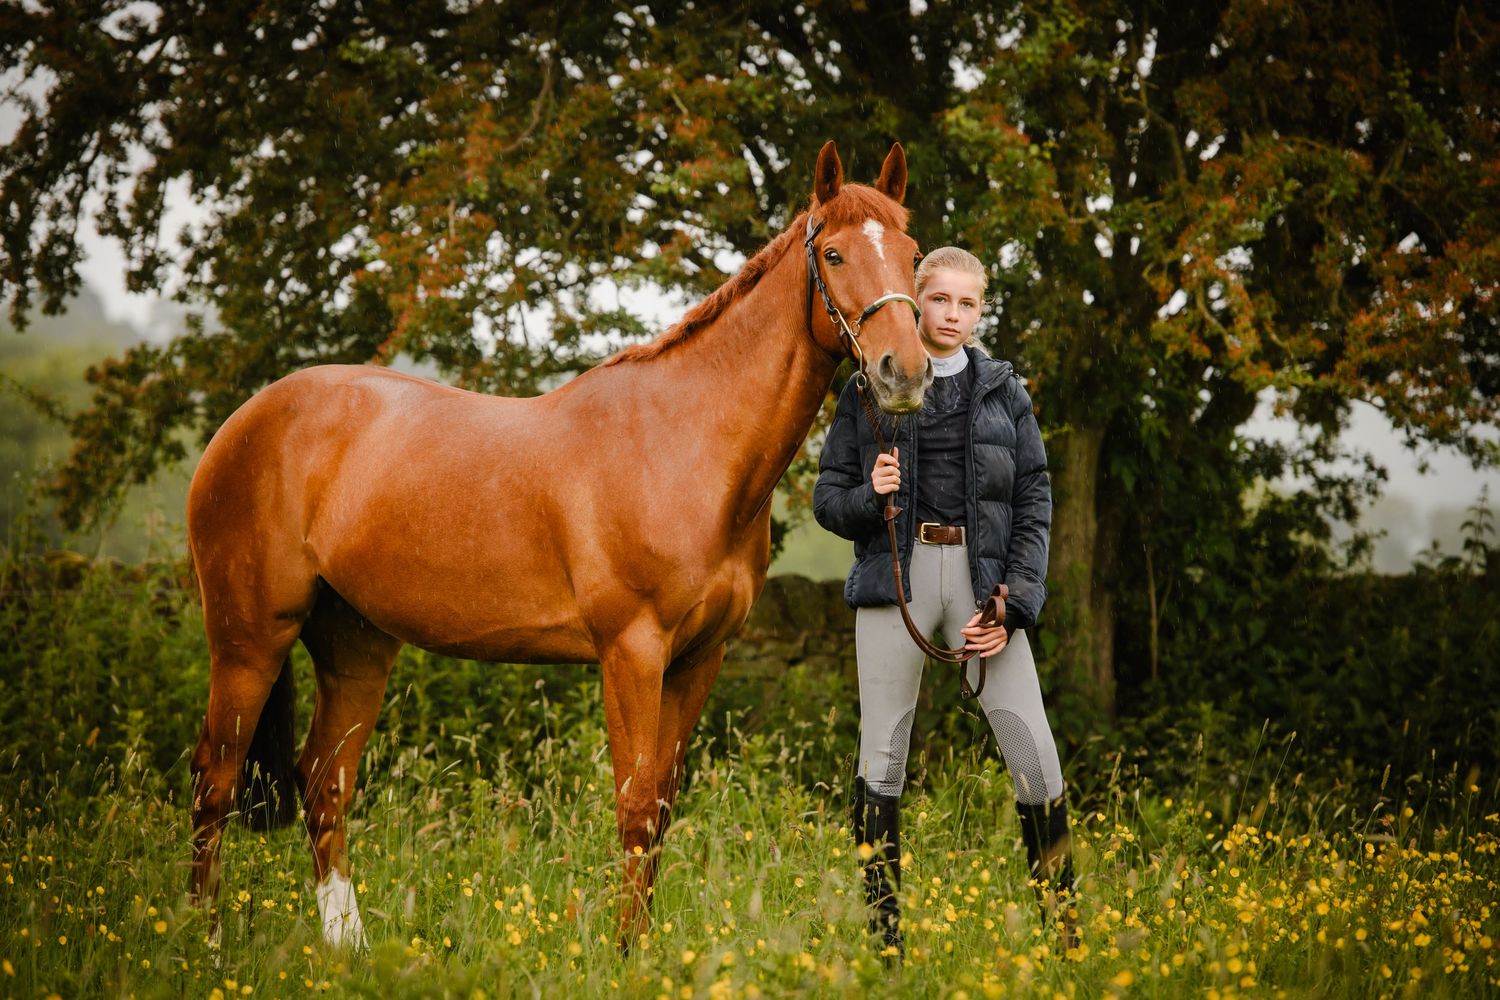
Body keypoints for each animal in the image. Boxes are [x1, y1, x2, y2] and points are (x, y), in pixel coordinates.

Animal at [186, 140, 933, 949]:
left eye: (913, 254)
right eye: (833, 253)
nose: (905, 373)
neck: (682, 441)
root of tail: (244, 422)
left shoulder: (701, 657)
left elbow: (662, 806)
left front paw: (642, 946)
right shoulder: (631, 651)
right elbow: (634, 805)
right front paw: (624, 953)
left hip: (354, 644)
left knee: (324, 783)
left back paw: (345, 947)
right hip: (249, 638)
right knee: (214, 782)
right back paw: (203, 942)